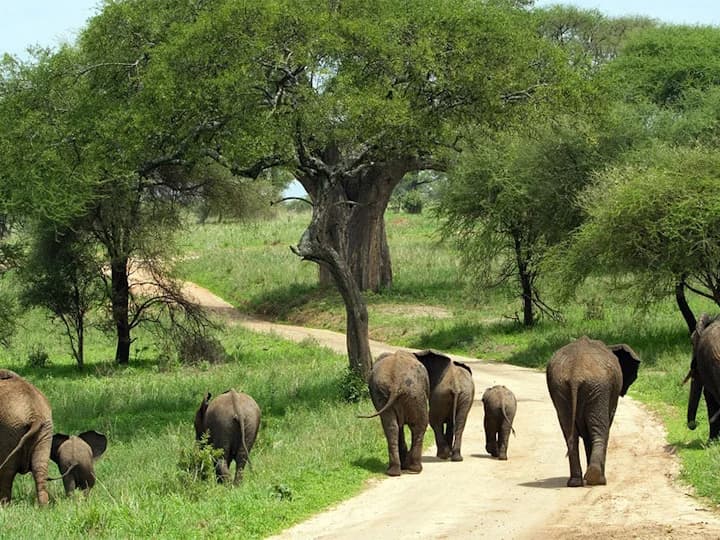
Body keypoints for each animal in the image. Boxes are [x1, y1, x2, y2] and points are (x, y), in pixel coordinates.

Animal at [0, 369, 53, 505]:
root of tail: (35, 415)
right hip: (45, 430)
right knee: (40, 468)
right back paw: (43, 506)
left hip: (9, 428)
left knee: (7, 471)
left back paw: (3, 505)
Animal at [546, 336, 640, 487]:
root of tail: (575, 374)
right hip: (598, 387)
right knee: (600, 431)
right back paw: (599, 480)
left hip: (561, 388)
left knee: (569, 434)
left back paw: (576, 482)